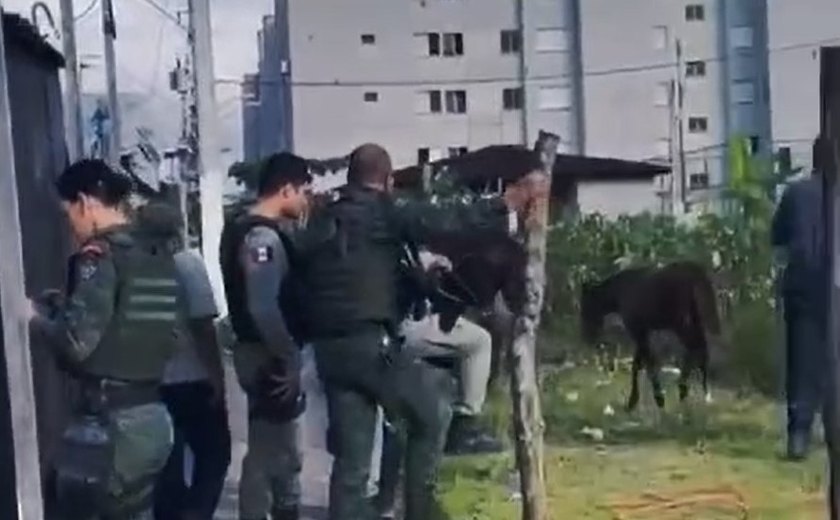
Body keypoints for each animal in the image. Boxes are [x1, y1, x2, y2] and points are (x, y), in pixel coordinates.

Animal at [576, 262, 720, 412]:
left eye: (585, 306)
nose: (587, 336)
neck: (618, 293)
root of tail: (698, 275)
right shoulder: (643, 331)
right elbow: (639, 364)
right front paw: (635, 400)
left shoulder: (637, 330)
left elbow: (645, 365)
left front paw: (655, 399)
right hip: (694, 322)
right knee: (701, 351)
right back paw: (698, 393)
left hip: (682, 323)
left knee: (696, 350)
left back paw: (689, 390)